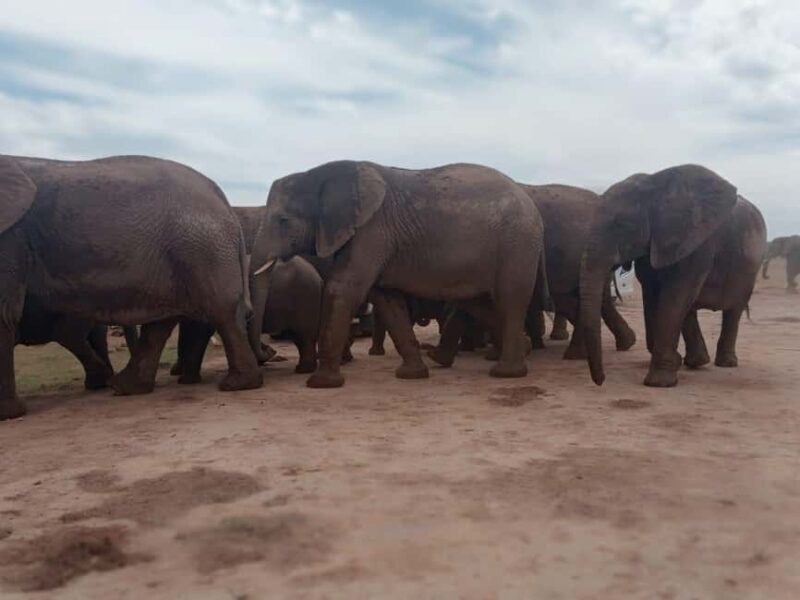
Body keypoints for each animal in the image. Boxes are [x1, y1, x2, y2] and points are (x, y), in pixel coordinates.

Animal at [0, 154, 262, 420]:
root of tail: (222, 198)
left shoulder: (12, 235)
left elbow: (4, 312)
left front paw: (8, 415)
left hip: (201, 247)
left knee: (221, 311)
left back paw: (236, 384)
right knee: (164, 320)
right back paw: (125, 386)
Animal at [249, 160, 545, 388]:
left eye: (284, 220)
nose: (270, 351)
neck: (320, 173)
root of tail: (529, 201)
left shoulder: (372, 231)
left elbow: (343, 287)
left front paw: (320, 384)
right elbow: (386, 299)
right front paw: (411, 376)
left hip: (517, 243)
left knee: (509, 300)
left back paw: (506, 373)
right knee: (478, 304)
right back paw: (523, 350)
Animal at [579, 164, 768, 388]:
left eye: (623, 225)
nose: (601, 381)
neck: (656, 188)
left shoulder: (697, 245)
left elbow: (674, 296)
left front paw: (659, 383)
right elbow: (654, 294)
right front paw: (674, 364)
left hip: (749, 269)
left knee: (733, 310)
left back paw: (726, 363)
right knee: (691, 308)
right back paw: (696, 362)